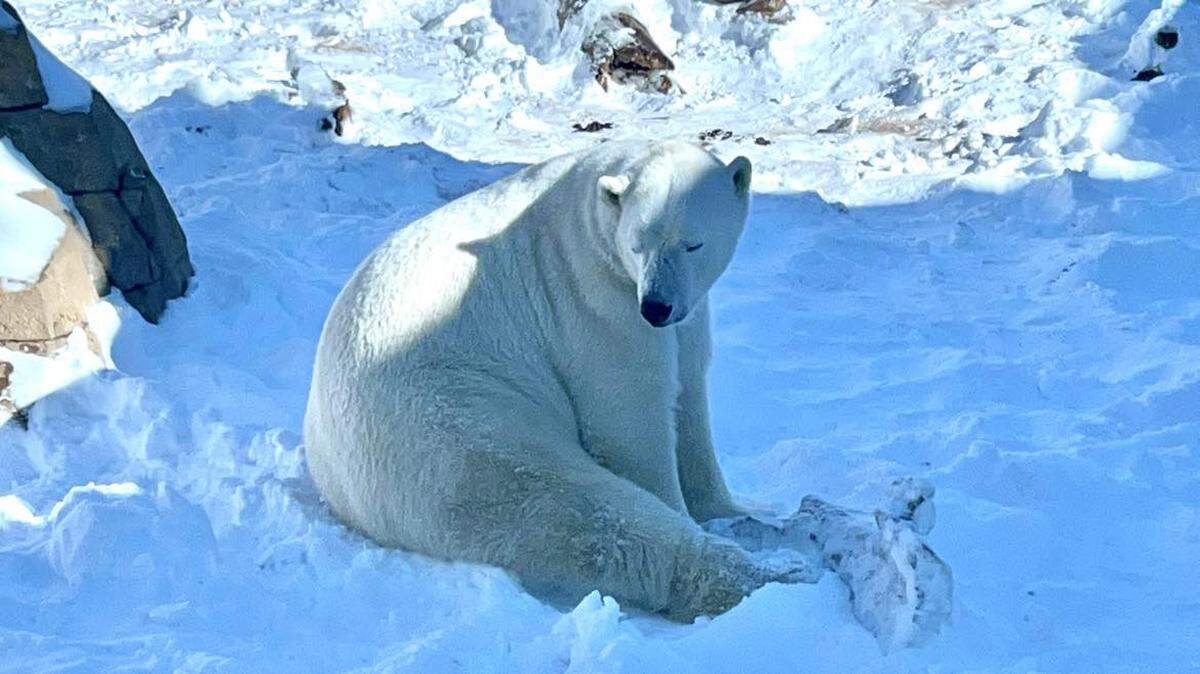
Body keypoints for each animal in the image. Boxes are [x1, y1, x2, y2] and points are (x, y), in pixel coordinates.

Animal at [304, 140, 809, 620]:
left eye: (693, 244)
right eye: (638, 245)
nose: (656, 307)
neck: (591, 212)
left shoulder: (683, 314)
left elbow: (689, 397)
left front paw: (731, 509)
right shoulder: (594, 302)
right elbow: (631, 419)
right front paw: (688, 505)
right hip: (454, 418)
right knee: (575, 506)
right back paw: (771, 574)